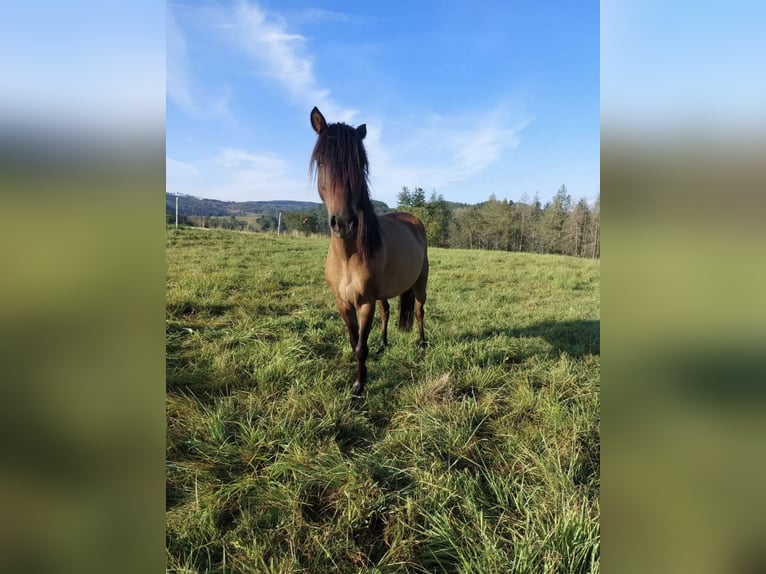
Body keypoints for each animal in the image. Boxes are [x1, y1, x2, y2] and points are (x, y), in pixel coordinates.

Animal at [308, 106, 428, 398]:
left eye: (359, 166)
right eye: (322, 163)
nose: (344, 223)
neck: (347, 257)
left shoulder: (365, 303)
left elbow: (361, 346)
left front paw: (358, 389)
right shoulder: (343, 304)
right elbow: (354, 343)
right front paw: (361, 378)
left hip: (420, 283)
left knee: (419, 311)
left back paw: (422, 344)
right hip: (383, 293)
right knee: (387, 312)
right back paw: (384, 345)